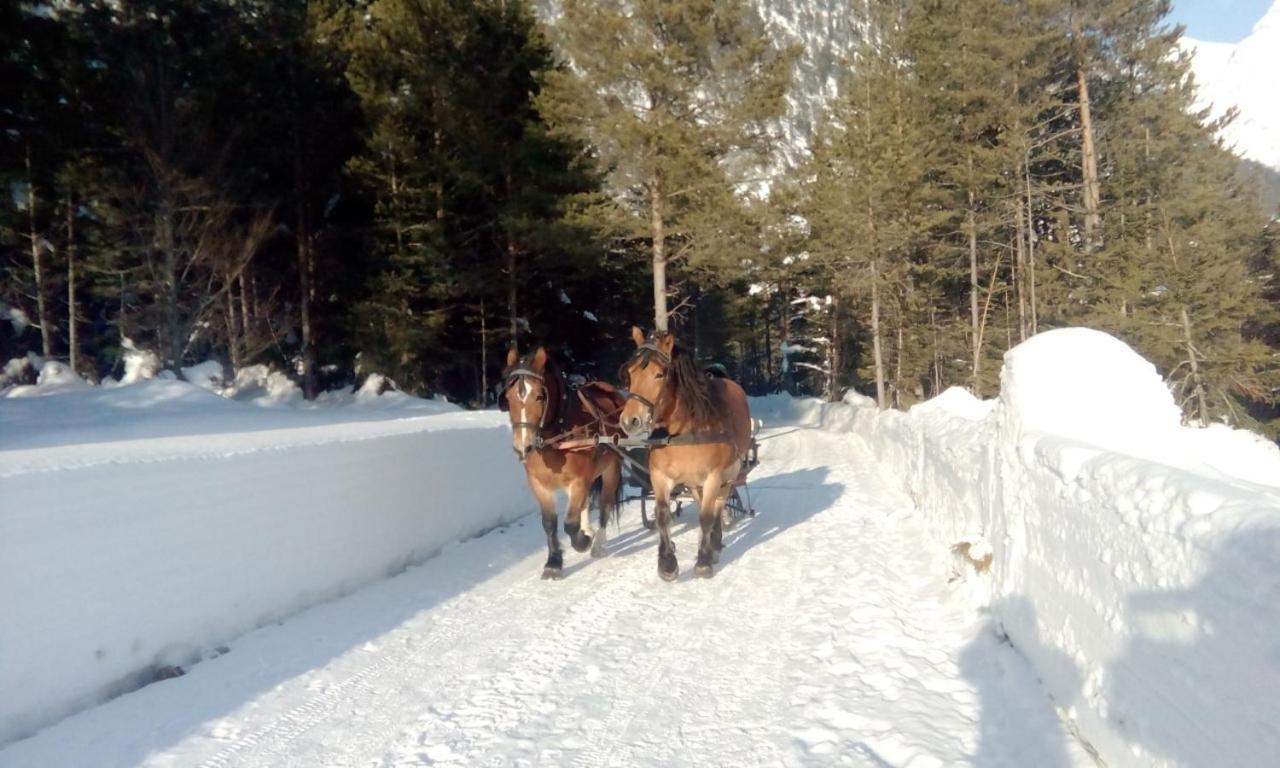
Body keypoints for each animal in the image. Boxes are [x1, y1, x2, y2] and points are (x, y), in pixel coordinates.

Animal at [496, 345, 622, 576]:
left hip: (612, 467)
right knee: (586, 503)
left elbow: (570, 524)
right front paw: (554, 562)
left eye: (539, 396)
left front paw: (582, 542)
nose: (522, 447)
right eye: (507, 397)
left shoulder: (579, 480)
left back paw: (598, 542)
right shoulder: (539, 485)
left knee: (605, 504)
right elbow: (549, 523)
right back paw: (588, 528)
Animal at [616, 325, 752, 581]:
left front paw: (703, 561)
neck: (684, 431)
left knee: (718, 505)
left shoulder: (713, 477)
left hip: (729, 475)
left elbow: (707, 516)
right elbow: (662, 515)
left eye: (660, 374)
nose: (630, 421)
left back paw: (715, 543)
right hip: (694, 482)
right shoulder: (660, 477)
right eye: (630, 373)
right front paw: (667, 563)